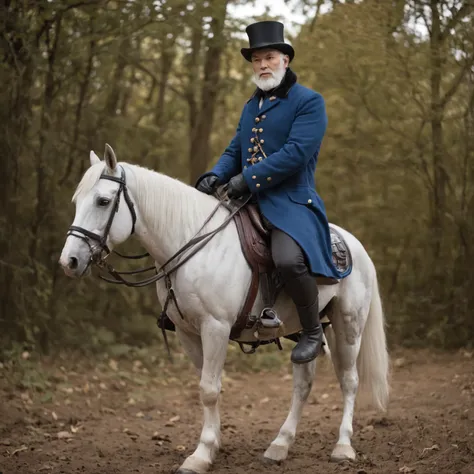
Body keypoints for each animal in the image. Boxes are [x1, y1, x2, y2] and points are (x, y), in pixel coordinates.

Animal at [58, 145, 388, 474]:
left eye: (102, 201)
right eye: (76, 201)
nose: (69, 261)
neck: (192, 243)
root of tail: (354, 244)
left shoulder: (215, 327)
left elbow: (209, 389)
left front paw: (201, 454)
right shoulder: (188, 333)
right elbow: (206, 386)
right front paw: (212, 445)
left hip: (348, 326)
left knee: (349, 381)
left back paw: (342, 446)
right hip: (305, 331)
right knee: (303, 382)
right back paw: (280, 445)